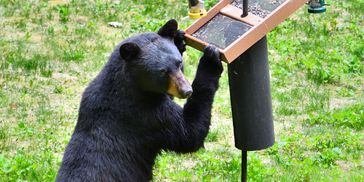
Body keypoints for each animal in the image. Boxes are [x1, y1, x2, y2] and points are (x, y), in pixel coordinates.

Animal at [57, 19, 223, 181]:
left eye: (179, 63)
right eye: (163, 72)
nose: (187, 91)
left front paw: (178, 37)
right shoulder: (147, 115)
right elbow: (189, 133)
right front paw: (211, 59)